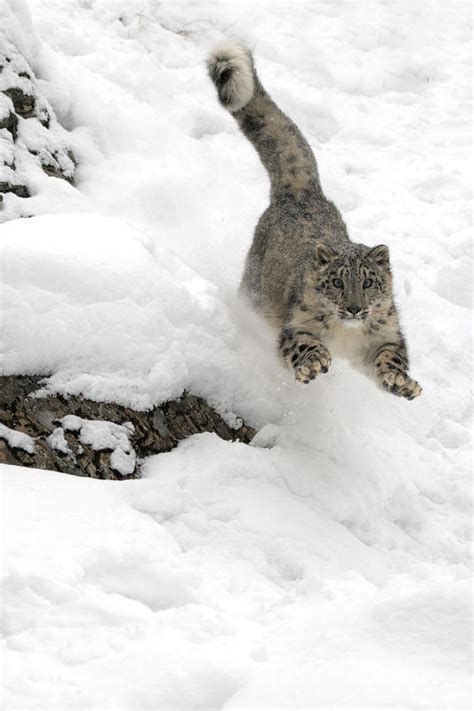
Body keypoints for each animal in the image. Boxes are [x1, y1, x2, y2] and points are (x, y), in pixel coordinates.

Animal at [207, 40, 422, 400]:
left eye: (368, 282)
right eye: (336, 281)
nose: (354, 308)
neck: (346, 336)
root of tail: (303, 193)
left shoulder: (385, 334)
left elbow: (391, 356)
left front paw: (401, 382)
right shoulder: (297, 326)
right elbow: (303, 344)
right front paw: (314, 363)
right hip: (255, 289)